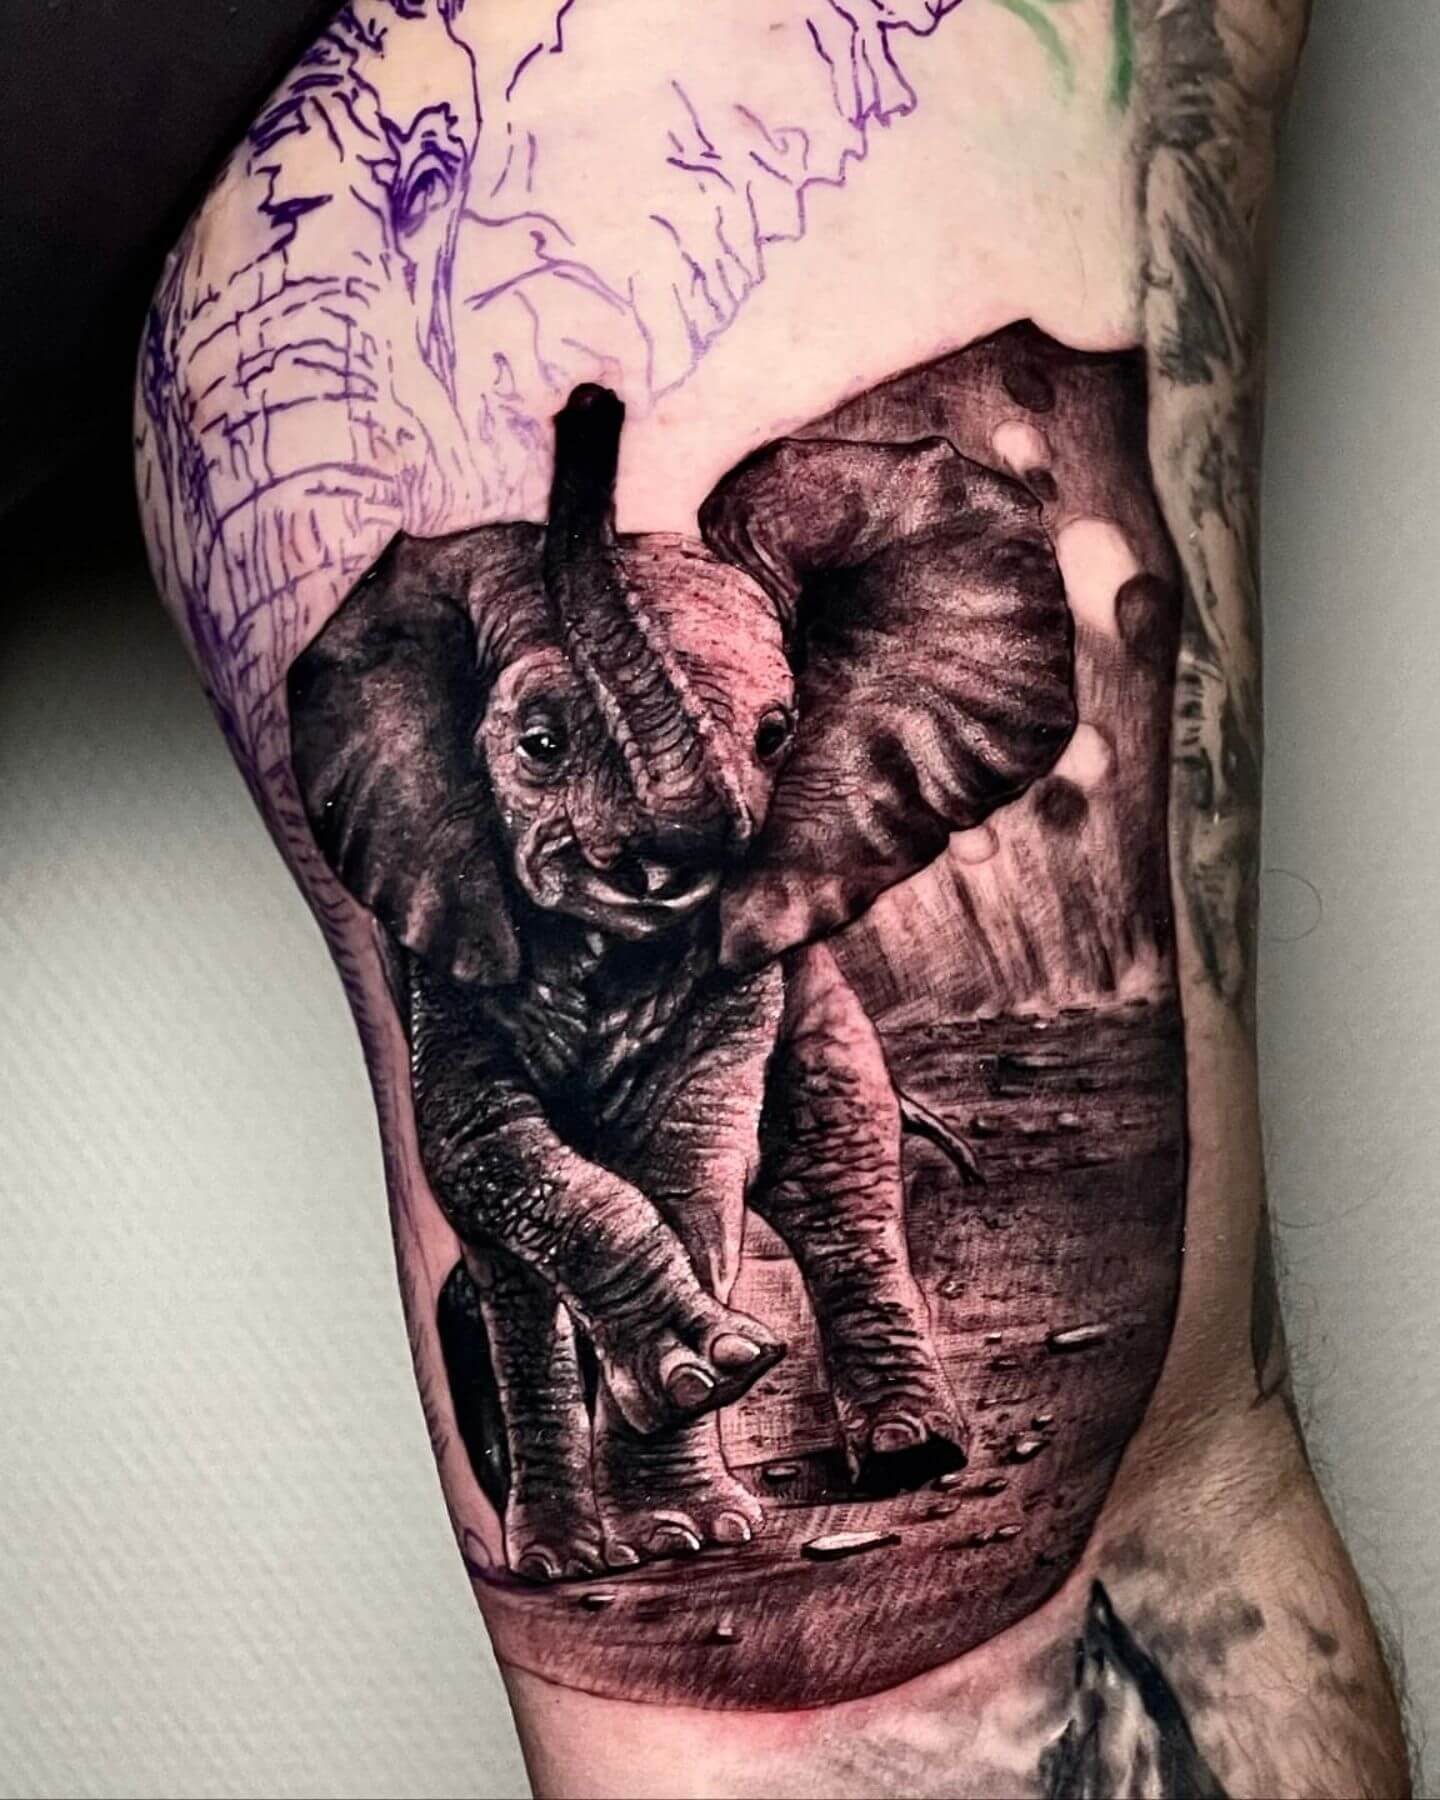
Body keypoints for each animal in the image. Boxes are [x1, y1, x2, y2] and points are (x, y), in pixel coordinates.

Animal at [288, 379, 1076, 1580]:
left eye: (777, 732)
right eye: (539, 743)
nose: (589, 405)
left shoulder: (740, 969)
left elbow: (687, 1155)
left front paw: (686, 1515)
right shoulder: (442, 937)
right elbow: (477, 1138)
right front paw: (702, 1391)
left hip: (827, 1023)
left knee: (834, 1177)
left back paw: (909, 1455)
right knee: (513, 1291)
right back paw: (562, 1560)